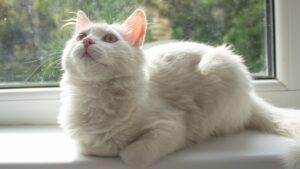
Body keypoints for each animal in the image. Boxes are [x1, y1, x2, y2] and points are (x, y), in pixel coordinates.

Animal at [57, 8, 300, 168]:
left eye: (109, 38)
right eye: (81, 36)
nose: (87, 42)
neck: (96, 95)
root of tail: (251, 97)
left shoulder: (171, 126)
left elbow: (131, 155)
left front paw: (118, 150)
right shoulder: (83, 140)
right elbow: (89, 146)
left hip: (219, 71)